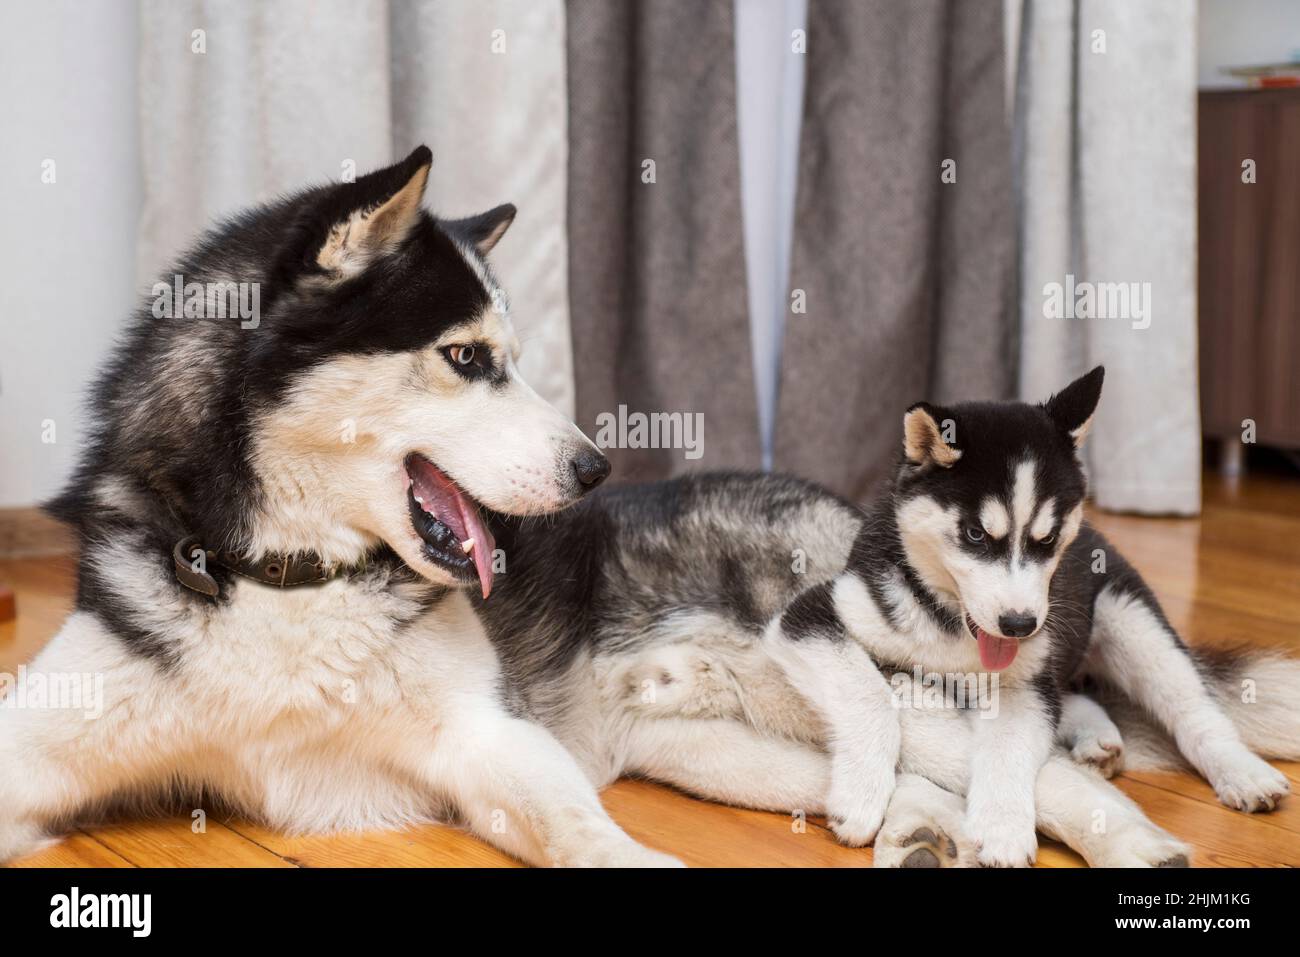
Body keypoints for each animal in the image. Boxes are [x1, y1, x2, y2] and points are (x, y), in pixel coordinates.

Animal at [764, 371, 1294, 868]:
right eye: (975, 534)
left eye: (1048, 537)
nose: (1019, 625)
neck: (948, 626)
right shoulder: (816, 613)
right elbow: (867, 691)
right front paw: (862, 795)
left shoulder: (1026, 680)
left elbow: (1008, 745)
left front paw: (1001, 828)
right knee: (1077, 691)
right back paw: (1096, 735)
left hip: (1128, 616)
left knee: (1191, 706)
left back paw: (1241, 771)